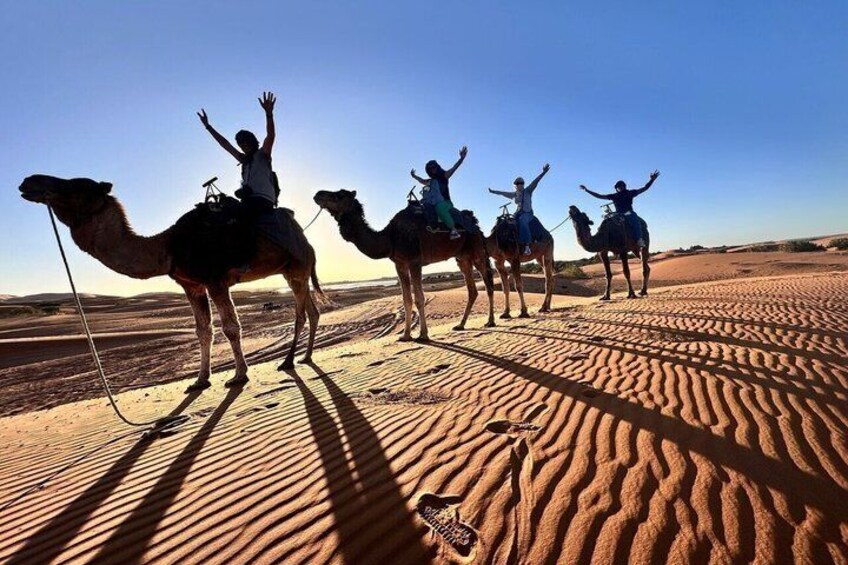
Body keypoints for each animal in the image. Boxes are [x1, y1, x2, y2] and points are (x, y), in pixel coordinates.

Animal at [19, 175, 322, 392]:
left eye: (77, 185)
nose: (29, 181)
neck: (167, 248)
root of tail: (306, 241)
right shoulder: (191, 285)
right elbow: (203, 331)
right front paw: (200, 380)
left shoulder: (215, 279)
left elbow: (231, 327)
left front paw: (239, 375)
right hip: (291, 271)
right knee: (312, 311)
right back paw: (304, 357)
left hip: (297, 267)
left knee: (300, 314)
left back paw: (288, 360)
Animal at [313, 190, 495, 341]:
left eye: (339, 195)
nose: (318, 194)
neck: (390, 237)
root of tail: (476, 225)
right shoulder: (399, 264)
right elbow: (406, 299)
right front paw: (406, 335)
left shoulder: (415, 261)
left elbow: (419, 298)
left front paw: (423, 335)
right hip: (462, 257)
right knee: (472, 290)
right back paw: (460, 325)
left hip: (476, 251)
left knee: (488, 284)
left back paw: (491, 321)